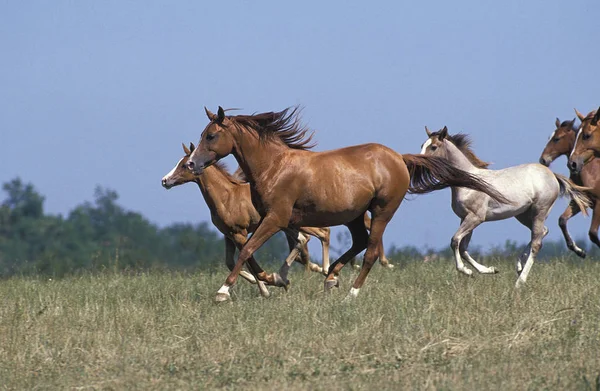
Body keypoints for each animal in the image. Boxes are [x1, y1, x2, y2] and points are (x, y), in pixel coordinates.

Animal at [162, 143, 330, 298]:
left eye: (185, 165)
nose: (164, 180)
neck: (227, 197)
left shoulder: (240, 233)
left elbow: (248, 257)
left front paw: (266, 284)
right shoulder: (228, 234)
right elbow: (231, 262)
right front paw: (266, 285)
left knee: (321, 233)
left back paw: (323, 270)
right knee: (304, 239)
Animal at [185, 105, 508, 302]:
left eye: (210, 135)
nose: (191, 164)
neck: (274, 166)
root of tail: (398, 158)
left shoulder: (276, 219)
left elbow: (247, 251)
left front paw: (223, 291)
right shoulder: (276, 222)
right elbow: (258, 254)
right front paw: (275, 279)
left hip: (381, 211)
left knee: (371, 251)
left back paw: (351, 292)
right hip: (353, 214)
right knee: (360, 243)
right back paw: (331, 278)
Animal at [422, 127, 592, 290]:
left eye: (433, 147)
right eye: (422, 145)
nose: (420, 164)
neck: (468, 183)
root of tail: (551, 174)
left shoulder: (475, 218)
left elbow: (455, 240)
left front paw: (466, 271)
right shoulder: (465, 218)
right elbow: (463, 248)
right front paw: (489, 270)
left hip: (539, 211)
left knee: (537, 243)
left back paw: (520, 282)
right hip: (523, 215)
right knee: (542, 232)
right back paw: (520, 265)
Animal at [536, 116, 600, 258]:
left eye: (557, 138)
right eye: (550, 137)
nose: (543, 160)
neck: (591, 171)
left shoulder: (599, 203)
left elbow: (593, 233)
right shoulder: (580, 201)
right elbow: (562, 220)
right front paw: (579, 251)